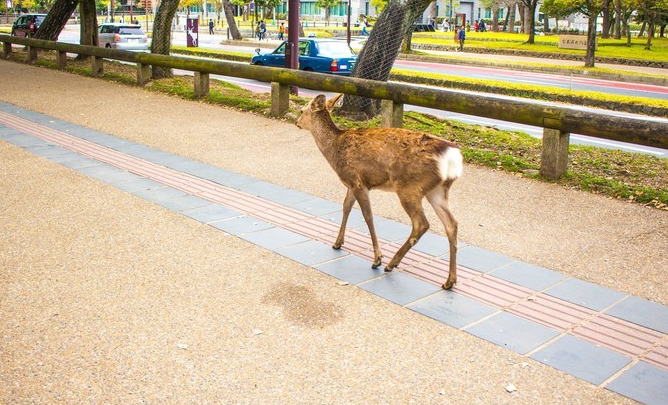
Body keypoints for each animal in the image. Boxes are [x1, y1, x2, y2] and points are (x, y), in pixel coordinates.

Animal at [298, 94, 464, 290]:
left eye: (302, 110)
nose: (297, 121)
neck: (333, 149)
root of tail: (452, 157)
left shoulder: (357, 181)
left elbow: (368, 216)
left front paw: (377, 258)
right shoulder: (352, 183)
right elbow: (346, 207)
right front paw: (338, 243)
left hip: (409, 186)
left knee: (421, 223)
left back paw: (391, 264)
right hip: (437, 190)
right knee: (452, 224)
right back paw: (450, 281)